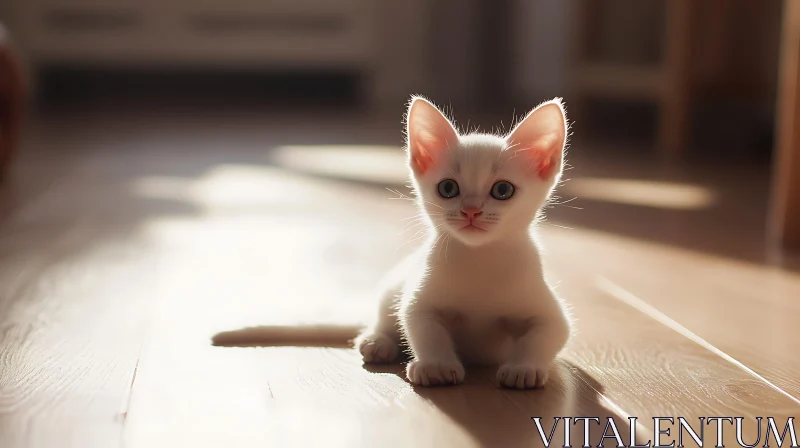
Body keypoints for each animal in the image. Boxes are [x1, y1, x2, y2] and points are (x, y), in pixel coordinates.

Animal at [354, 97, 568, 388]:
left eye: (503, 190)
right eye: (448, 188)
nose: (471, 210)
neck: (479, 259)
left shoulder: (551, 314)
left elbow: (546, 334)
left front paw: (524, 368)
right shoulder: (420, 298)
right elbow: (423, 325)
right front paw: (436, 365)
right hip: (393, 283)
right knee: (385, 315)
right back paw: (378, 341)